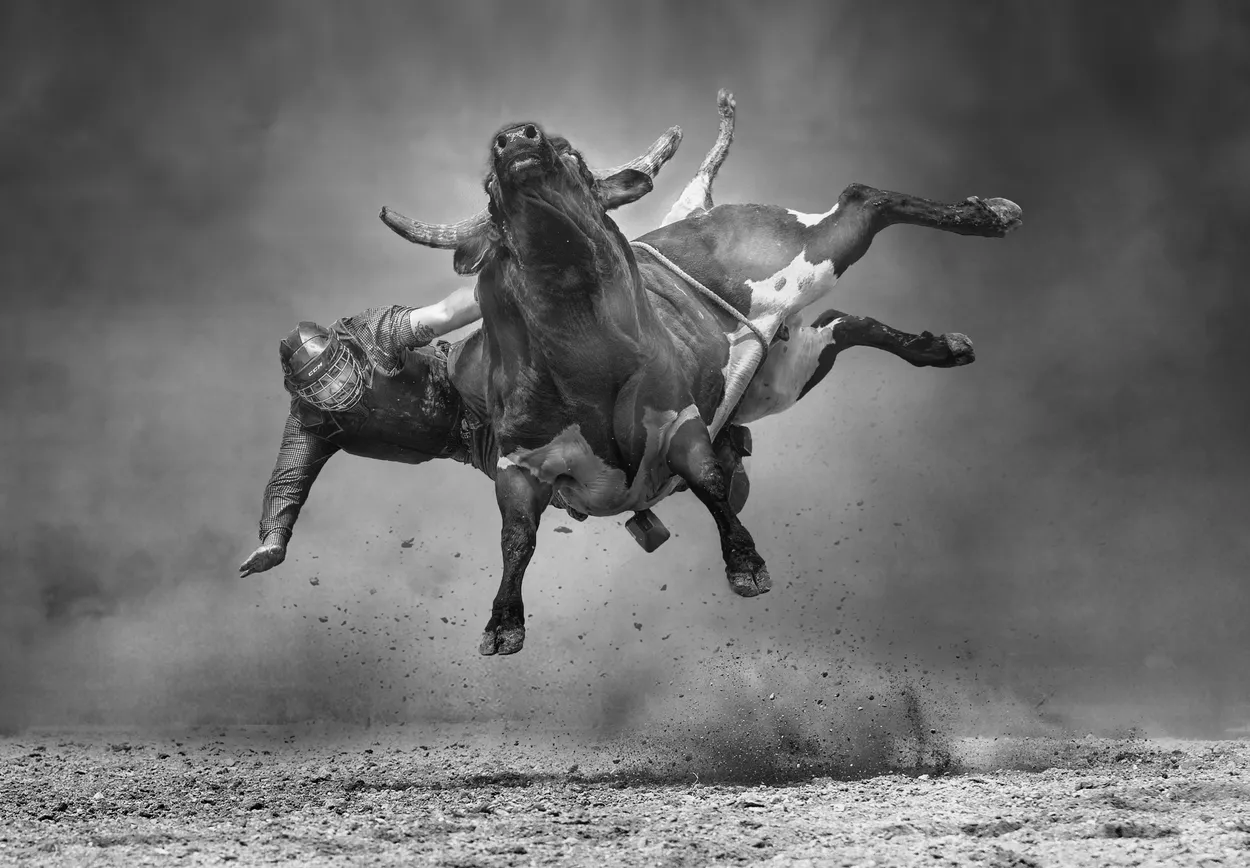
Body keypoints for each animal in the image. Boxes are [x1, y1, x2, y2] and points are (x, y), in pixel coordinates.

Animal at [381, 90, 1021, 657]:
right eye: (490, 191)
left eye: (573, 156)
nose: (516, 138)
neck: (586, 364)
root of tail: (702, 212)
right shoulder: (520, 464)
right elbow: (516, 537)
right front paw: (503, 622)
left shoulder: (680, 418)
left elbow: (710, 479)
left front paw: (746, 563)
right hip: (781, 373)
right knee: (843, 324)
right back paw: (939, 347)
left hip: (815, 253)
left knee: (862, 199)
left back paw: (988, 214)